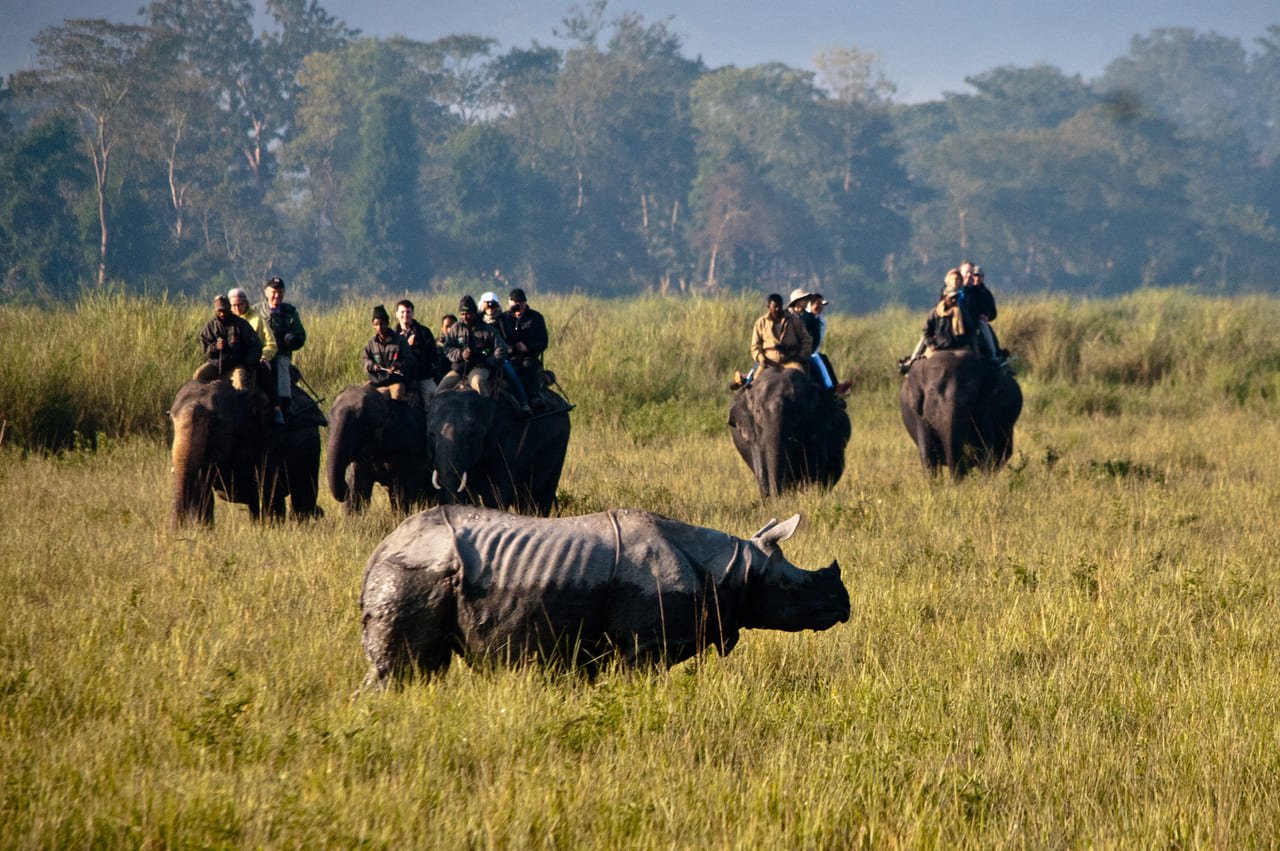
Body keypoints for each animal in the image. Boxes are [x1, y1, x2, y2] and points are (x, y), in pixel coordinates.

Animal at [170, 378, 325, 524]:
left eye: (214, 422)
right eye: (171, 420)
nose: (178, 529)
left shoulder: (268, 442)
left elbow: (268, 492)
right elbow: (201, 493)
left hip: (310, 450)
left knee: (301, 499)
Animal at [430, 386, 570, 516]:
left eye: (473, 434)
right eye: (431, 434)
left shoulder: (505, 440)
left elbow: (495, 495)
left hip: (559, 446)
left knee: (539, 499)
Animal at [906, 348, 1024, 478]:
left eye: (972, 393)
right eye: (932, 391)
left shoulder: (986, 408)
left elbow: (985, 450)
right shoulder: (918, 413)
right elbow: (928, 456)